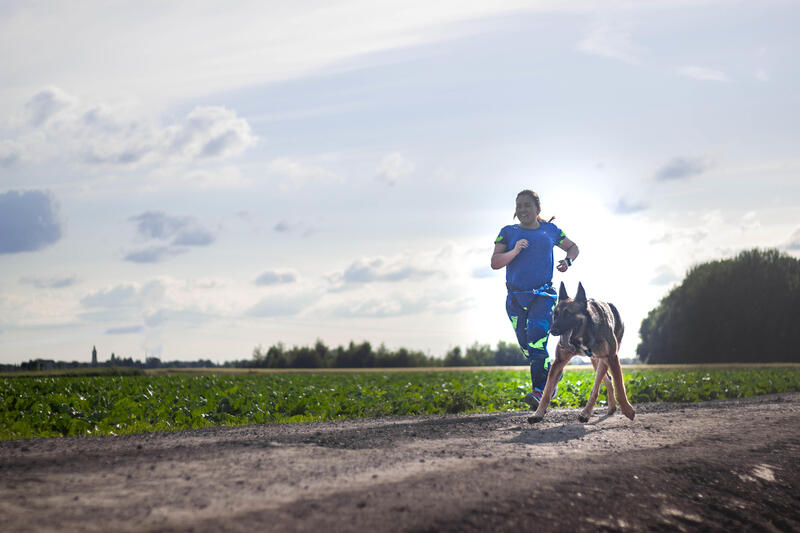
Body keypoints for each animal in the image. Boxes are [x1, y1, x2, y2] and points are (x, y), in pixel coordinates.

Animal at [528, 282, 636, 424]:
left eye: (568, 314)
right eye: (555, 314)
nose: (552, 331)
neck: (583, 334)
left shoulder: (612, 357)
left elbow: (620, 386)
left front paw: (627, 409)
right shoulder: (558, 362)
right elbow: (547, 392)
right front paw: (538, 414)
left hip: (603, 360)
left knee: (599, 386)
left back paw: (587, 412)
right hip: (597, 361)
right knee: (607, 380)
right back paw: (598, 410)